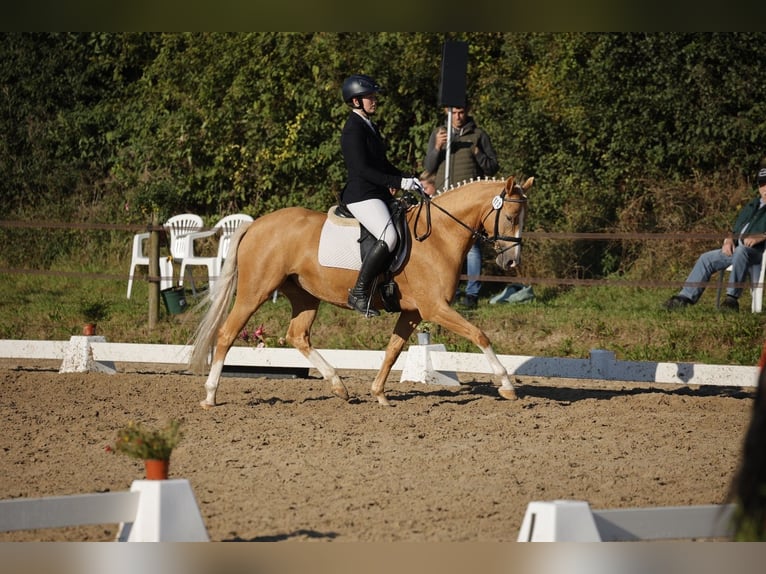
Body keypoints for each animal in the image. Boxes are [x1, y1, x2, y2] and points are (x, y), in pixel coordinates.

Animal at [190, 178, 536, 408]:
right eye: (509, 217)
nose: (511, 261)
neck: (438, 236)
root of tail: (256, 224)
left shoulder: (413, 312)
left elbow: (393, 350)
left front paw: (379, 393)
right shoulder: (434, 308)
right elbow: (479, 335)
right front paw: (507, 385)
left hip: (305, 296)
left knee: (297, 336)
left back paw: (338, 385)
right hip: (255, 291)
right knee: (227, 334)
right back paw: (210, 394)